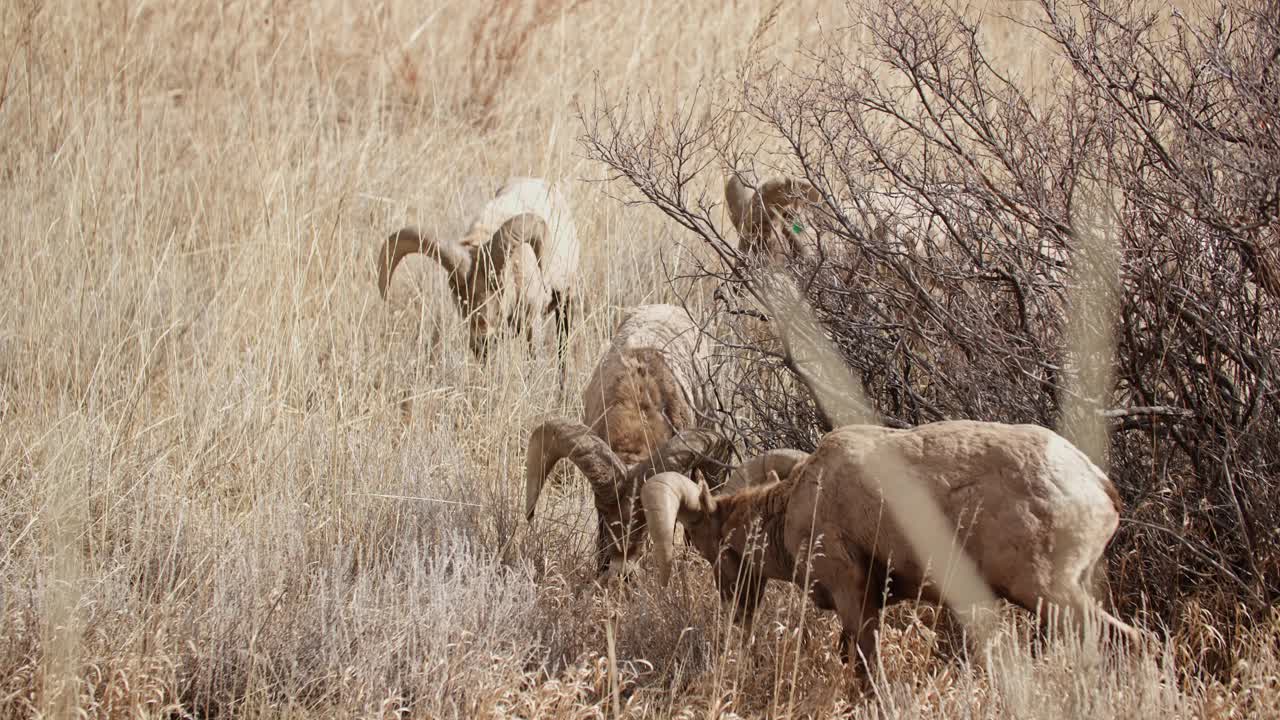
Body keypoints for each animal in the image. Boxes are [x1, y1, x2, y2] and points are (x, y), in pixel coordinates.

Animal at [645, 417, 1136, 671]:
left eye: (706, 547)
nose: (735, 607)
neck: (799, 503)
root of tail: (1096, 483)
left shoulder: (854, 598)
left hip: (1051, 594)